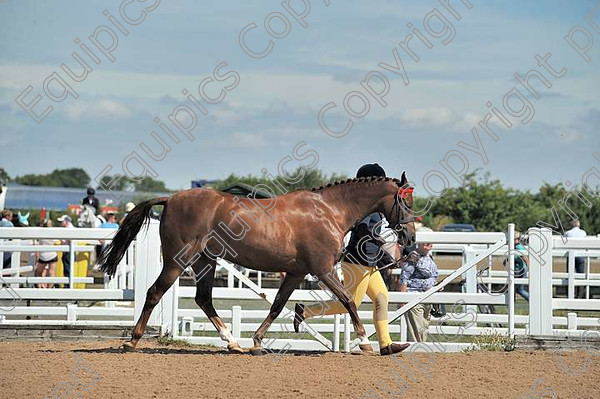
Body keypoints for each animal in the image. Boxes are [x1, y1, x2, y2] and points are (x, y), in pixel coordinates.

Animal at [99, 173, 418, 354]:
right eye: (406, 203)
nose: (411, 239)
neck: (329, 210)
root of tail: (171, 199)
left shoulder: (296, 273)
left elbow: (277, 305)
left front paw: (257, 341)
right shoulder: (323, 269)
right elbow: (348, 301)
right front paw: (365, 342)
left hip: (205, 261)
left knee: (204, 298)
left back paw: (233, 342)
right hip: (179, 260)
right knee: (155, 292)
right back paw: (132, 342)